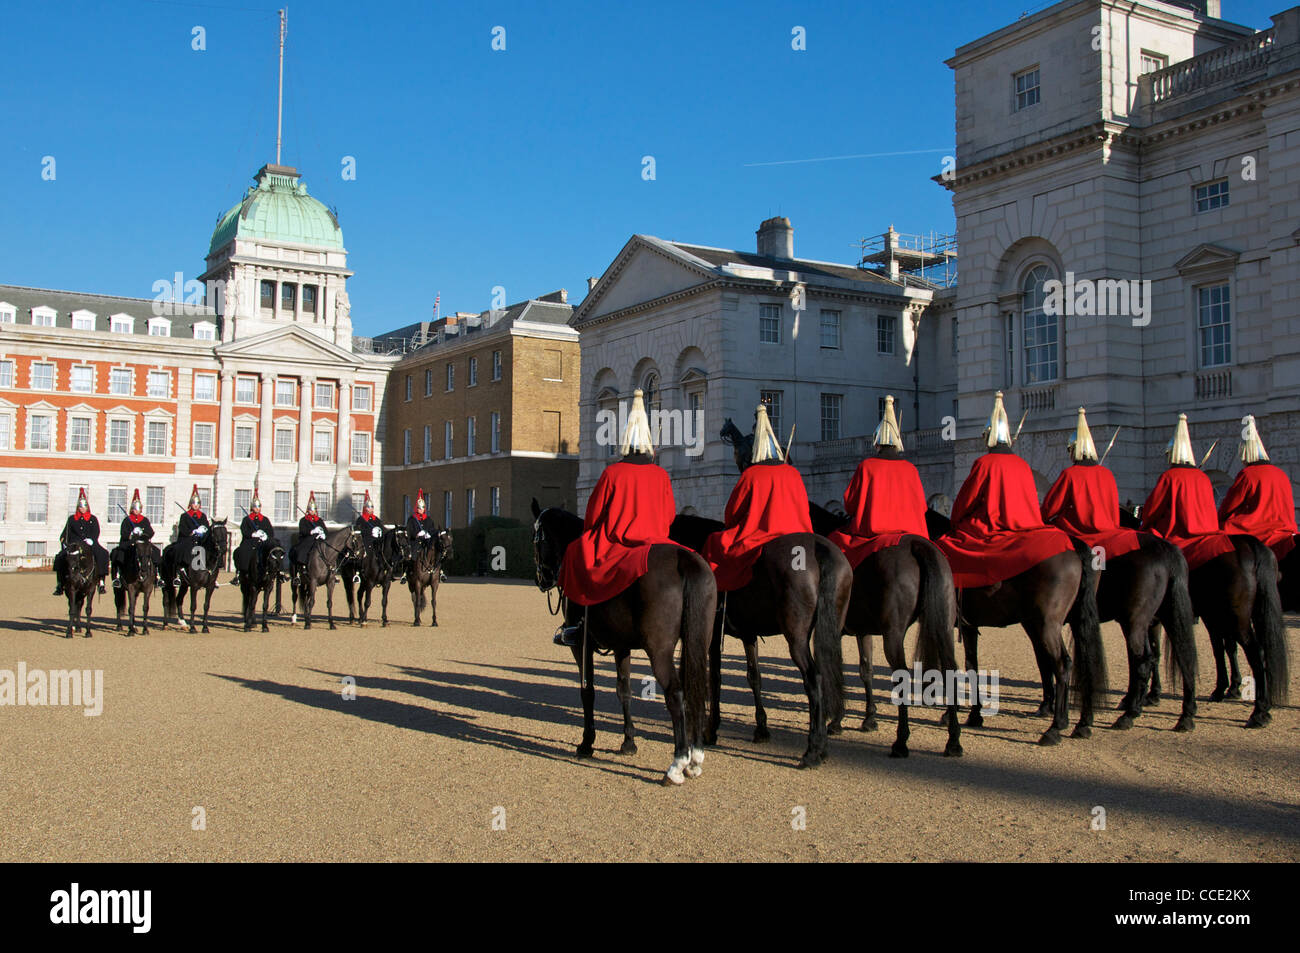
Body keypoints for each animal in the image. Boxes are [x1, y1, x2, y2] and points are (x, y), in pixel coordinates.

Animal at [527, 501, 717, 785]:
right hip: (697, 644)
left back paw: (677, 764)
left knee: (676, 693)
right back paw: (695, 759)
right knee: (696, 690)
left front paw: (587, 743)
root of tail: (686, 560)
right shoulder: (621, 646)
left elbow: (587, 691)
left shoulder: (580, 646)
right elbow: (623, 690)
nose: (541, 580)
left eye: (536, 538)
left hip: (659, 650)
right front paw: (628, 742)